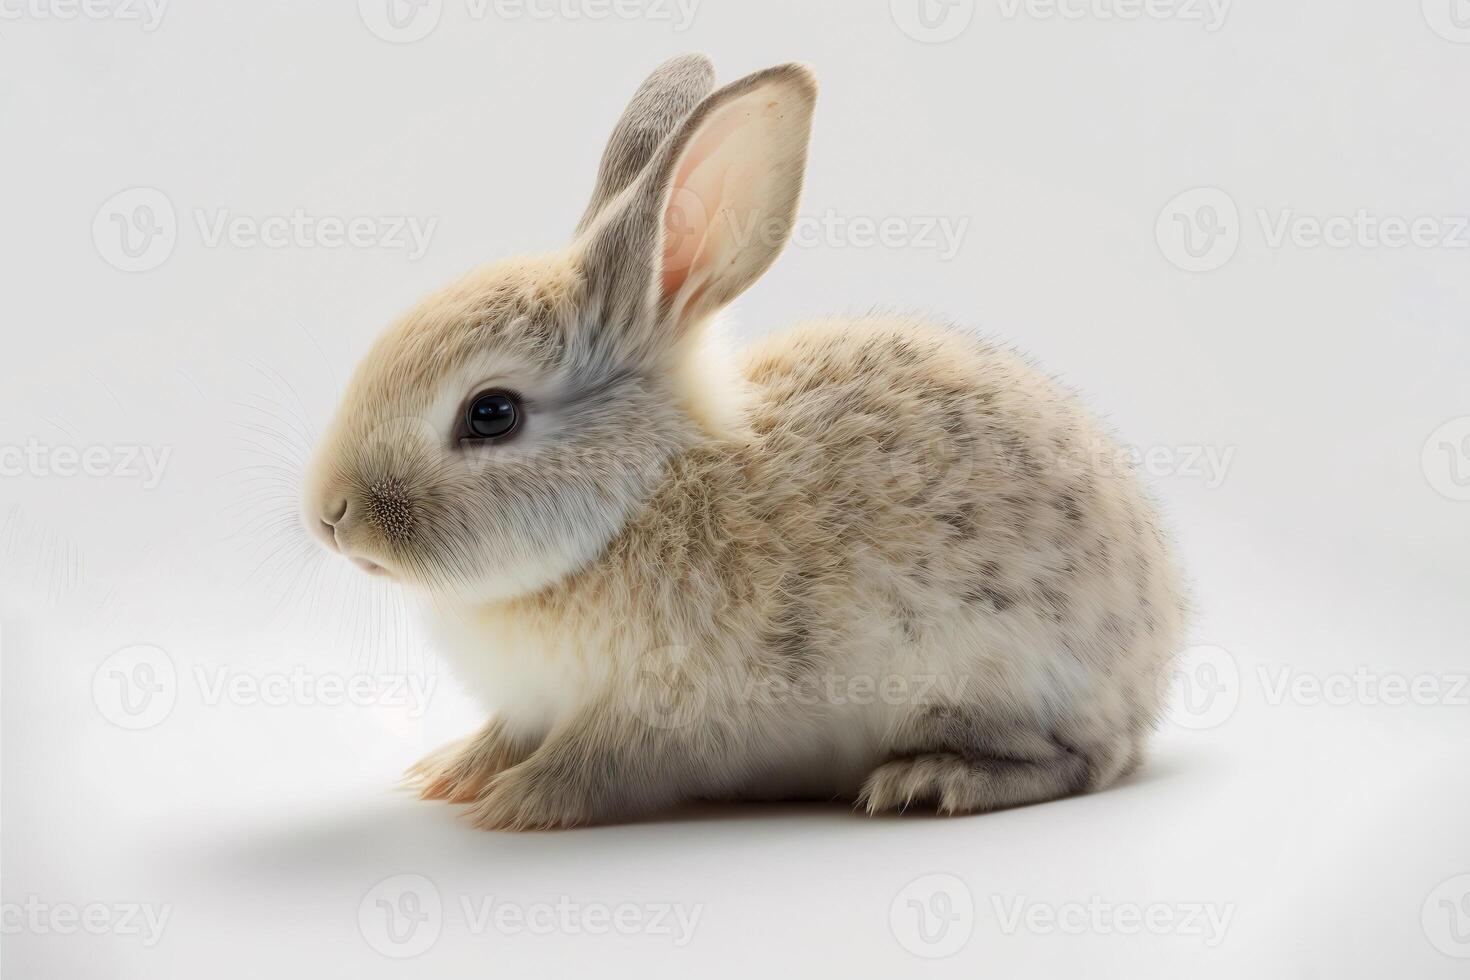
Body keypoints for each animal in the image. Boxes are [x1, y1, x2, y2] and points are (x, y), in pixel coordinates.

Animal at [301, 47, 1181, 828]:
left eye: (491, 413)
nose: (331, 517)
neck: (636, 500)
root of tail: (1156, 655)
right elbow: (507, 733)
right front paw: (451, 773)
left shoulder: (660, 717)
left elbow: (596, 765)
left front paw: (516, 803)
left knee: (1083, 762)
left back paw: (932, 780)